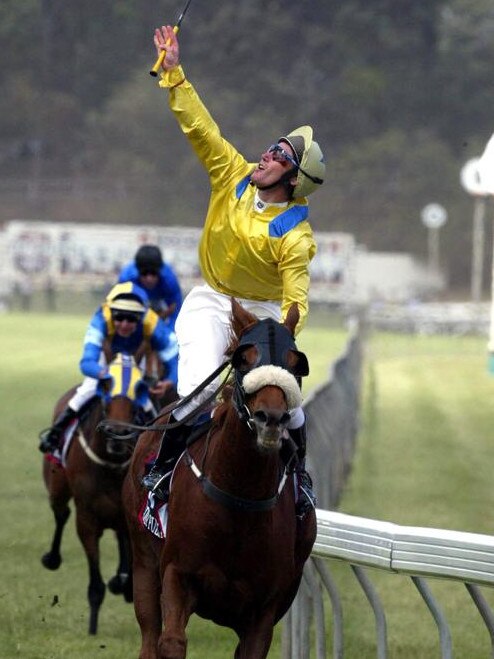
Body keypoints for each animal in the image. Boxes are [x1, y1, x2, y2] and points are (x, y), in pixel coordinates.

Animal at [41, 354, 151, 636]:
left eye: (138, 394)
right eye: (105, 393)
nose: (118, 435)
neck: (110, 465)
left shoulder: (130, 514)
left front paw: (123, 583)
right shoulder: (87, 519)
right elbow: (95, 584)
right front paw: (92, 629)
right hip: (57, 486)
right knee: (61, 513)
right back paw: (52, 558)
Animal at [123, 302, 316, 659]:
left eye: (295, 362)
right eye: (246, 358)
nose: (271, 418)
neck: (239, 495)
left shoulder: (263, 611)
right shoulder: (177, 574)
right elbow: (170, 643)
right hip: (143, 562)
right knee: (149, 636)